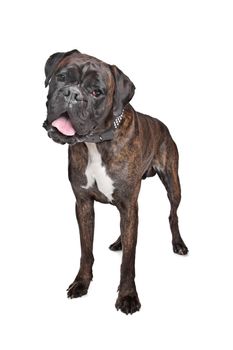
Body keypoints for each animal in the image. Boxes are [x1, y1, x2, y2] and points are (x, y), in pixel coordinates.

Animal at [42, 49, 188, 314]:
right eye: (61, 77)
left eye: (96, 92)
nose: (72, 94)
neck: (96, 142)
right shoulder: (84, 204)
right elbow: (86, 249)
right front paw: (81, 283)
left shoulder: (129, 205)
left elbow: (129, 261)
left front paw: (128, 296)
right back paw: (120, 242)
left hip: (173, 185)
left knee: (172, 214)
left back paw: (178, 243)